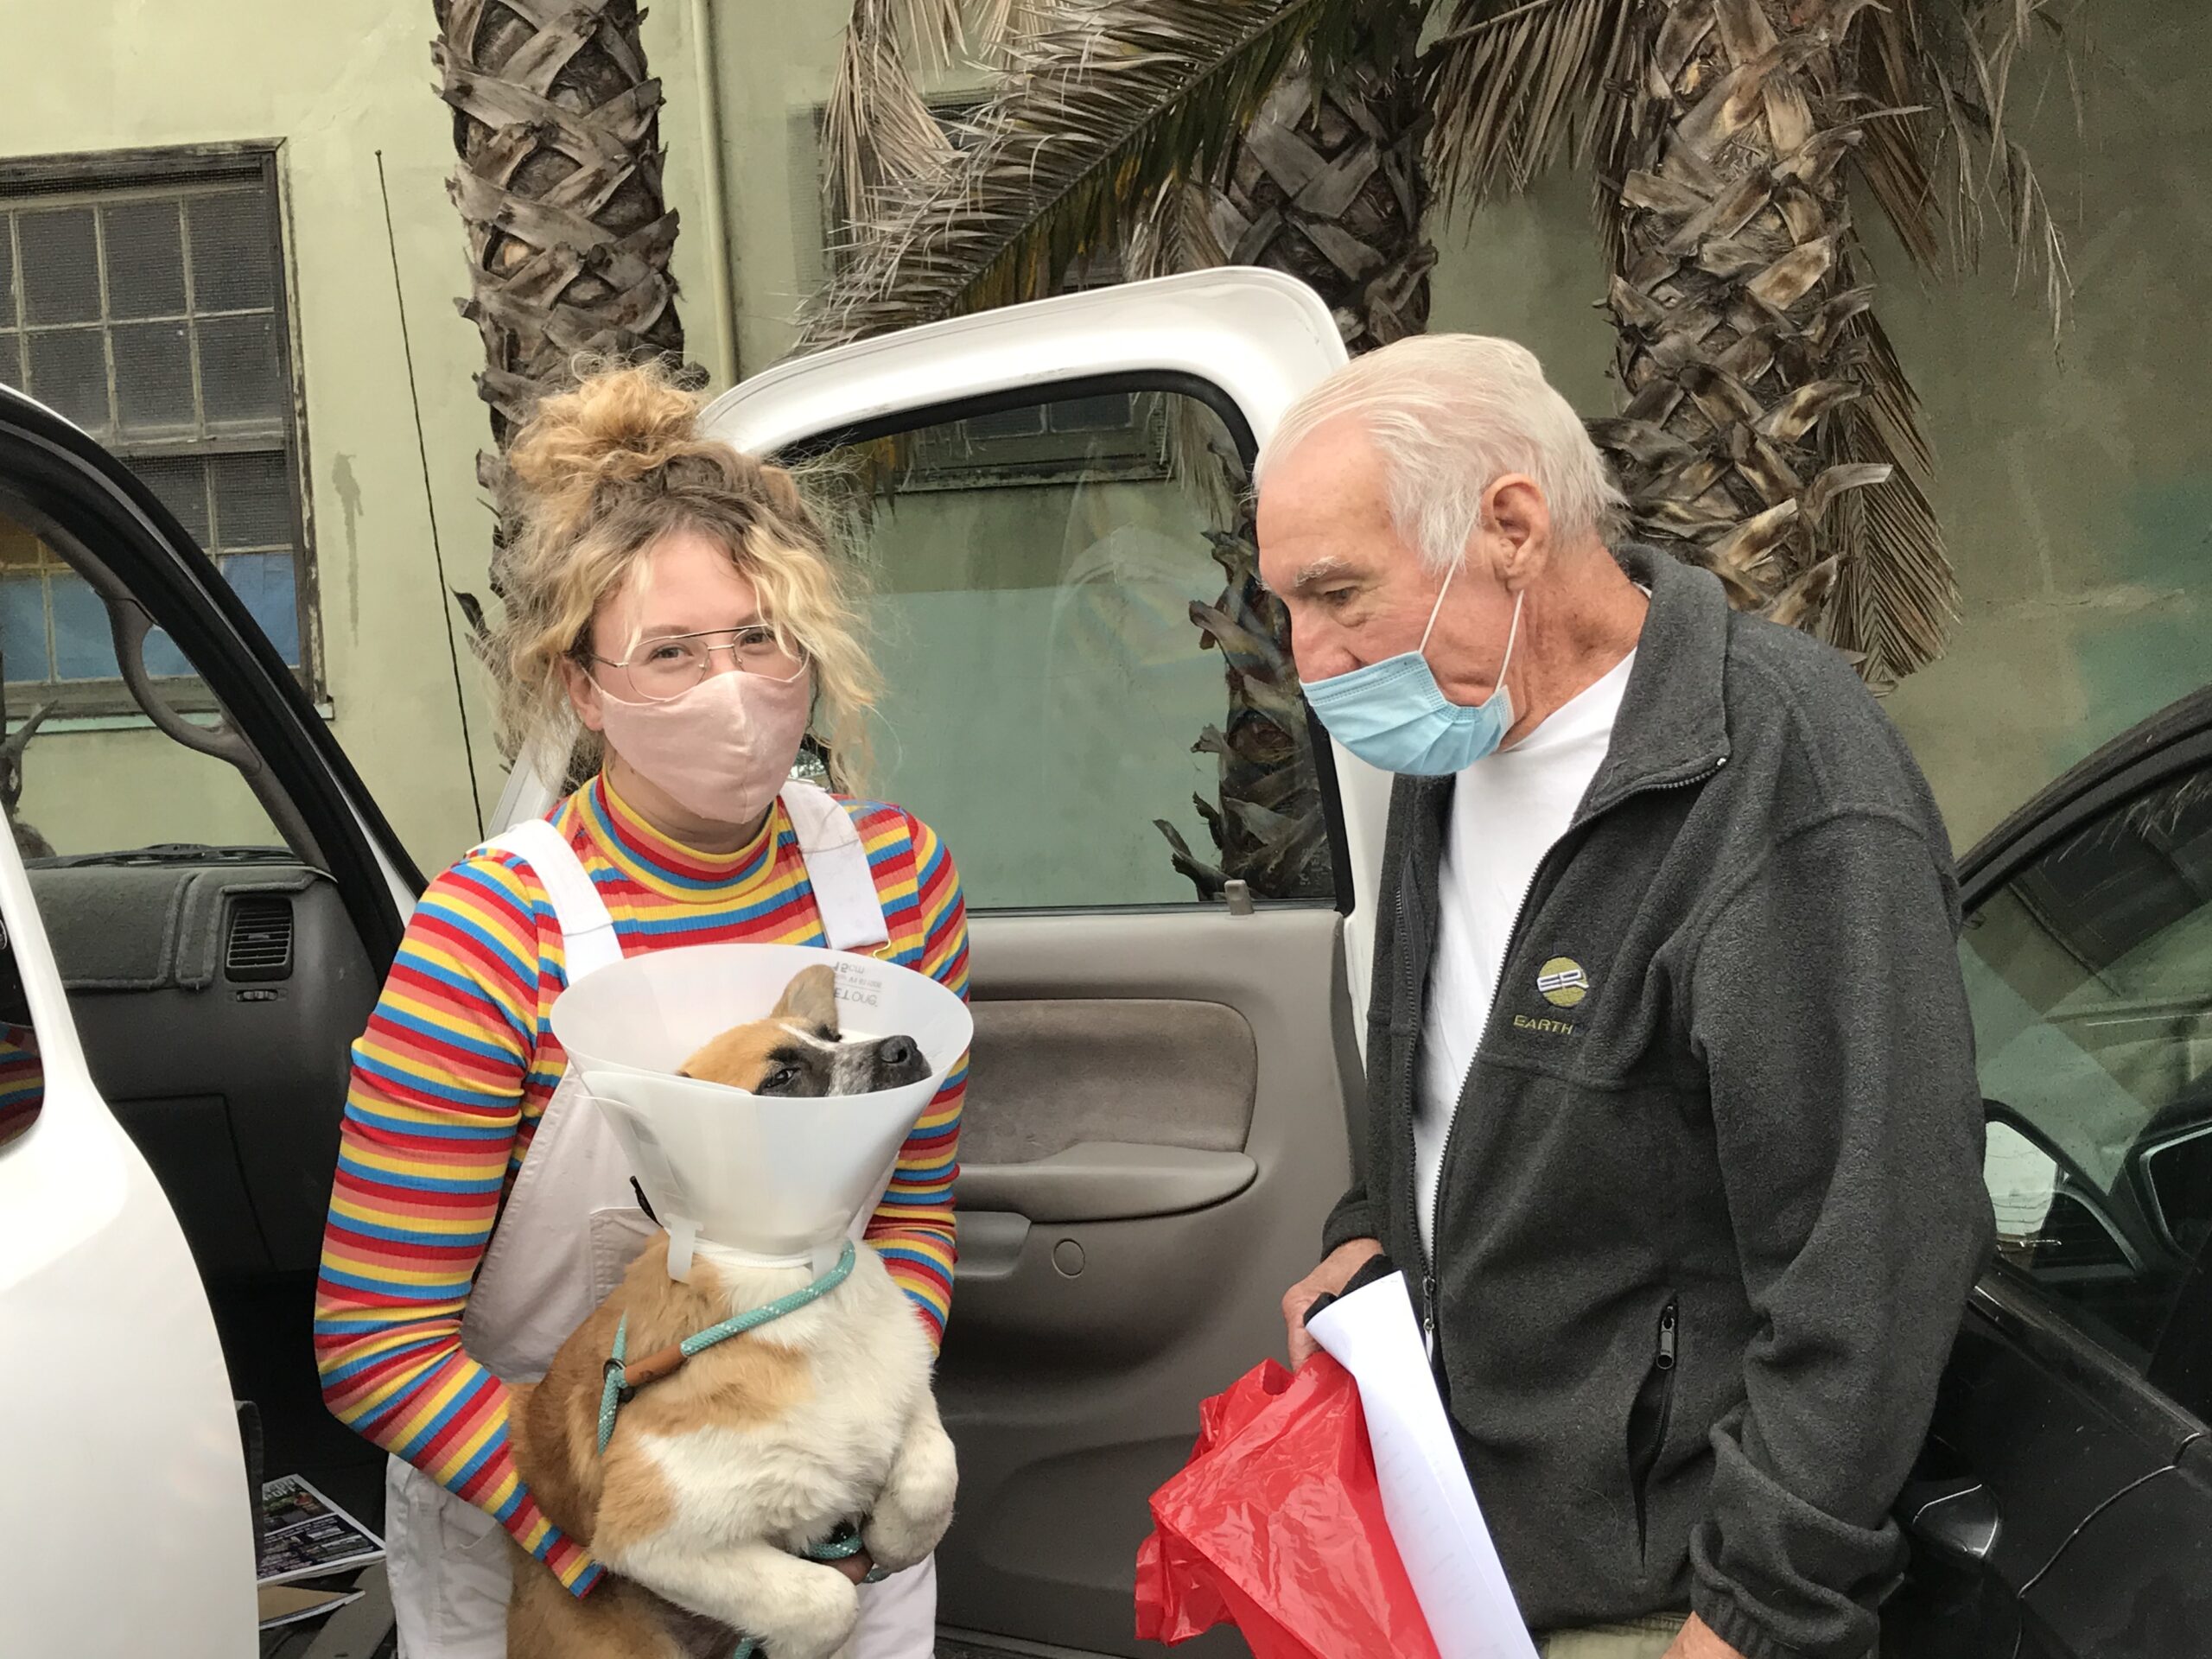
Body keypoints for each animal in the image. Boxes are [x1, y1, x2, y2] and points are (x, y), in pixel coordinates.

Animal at [508, 969, 960, 1654]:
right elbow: (824, 1601)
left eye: (831, 1036)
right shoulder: (649, 1533)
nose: (904, 1045)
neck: (799, 1284)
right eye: (782, 1078)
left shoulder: (902, 1386)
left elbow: (935, 1468)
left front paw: (896, 1540)